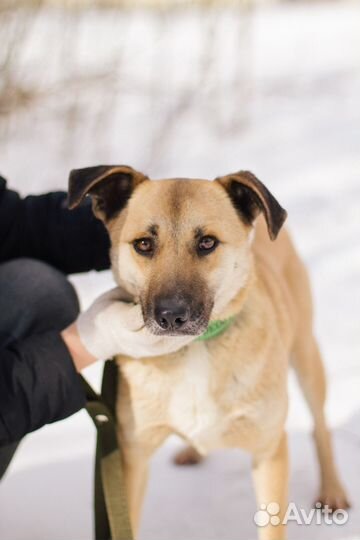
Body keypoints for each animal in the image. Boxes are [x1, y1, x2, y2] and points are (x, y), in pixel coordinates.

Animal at [67, 166, 348, 540]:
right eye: (144, 244)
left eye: (207, 242)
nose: (171, 316)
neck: (195, 349)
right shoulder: (132, 458)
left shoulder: (269, 451)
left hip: (305, 354)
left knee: (320, 427)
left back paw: (332, 490)